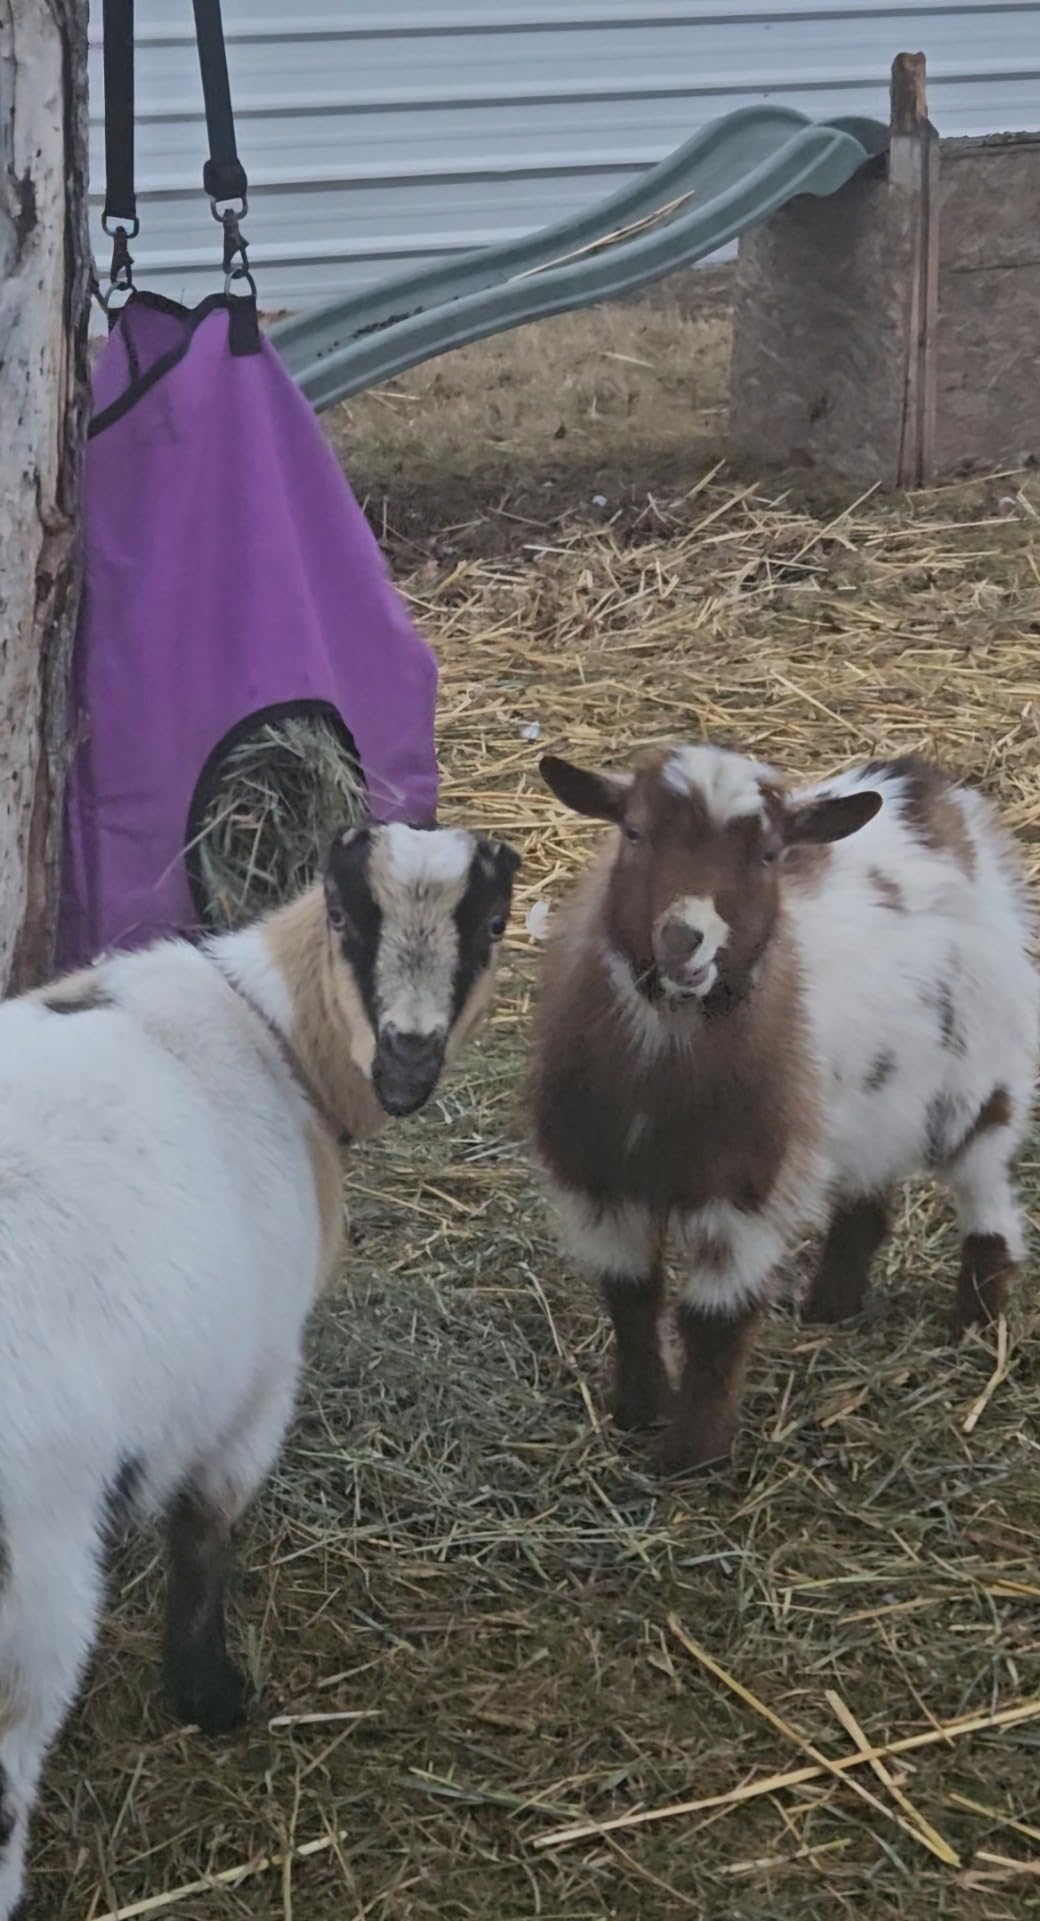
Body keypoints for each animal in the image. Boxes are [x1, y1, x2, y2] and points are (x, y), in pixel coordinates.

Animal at [0, 820, 520, 1921]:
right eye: (348, 917)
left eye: (491, 923)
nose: (409, 1059)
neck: (274, 1037)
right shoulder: (253, 1385)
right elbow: (206, 1531)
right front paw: (208, 1691)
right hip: (35, 1593)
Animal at [529, 743, 1037, 1476]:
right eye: (634, 831)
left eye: (769, 854)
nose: (684, 938)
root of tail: (925, 787)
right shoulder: (599, 1177)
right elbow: (630, 1293)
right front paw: (636, 1411)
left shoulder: (742, 1188)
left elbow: (715, 1319)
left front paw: (692, 1456)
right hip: (869, 1097)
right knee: (867, 1191)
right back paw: (832, 1304)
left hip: (979, 1074)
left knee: (986, 1185)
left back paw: (976, 1318)